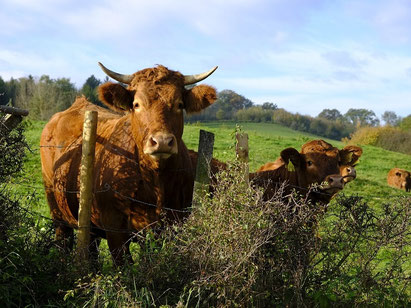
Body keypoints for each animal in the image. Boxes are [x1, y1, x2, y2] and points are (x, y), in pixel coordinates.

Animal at [40, 63, 219, 264]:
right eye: (136, 104)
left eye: (179, 105)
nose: (162, 141)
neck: (156, 182)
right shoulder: (115, 228)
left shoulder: (174, 225)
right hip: (56, 206)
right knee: (63, 239)